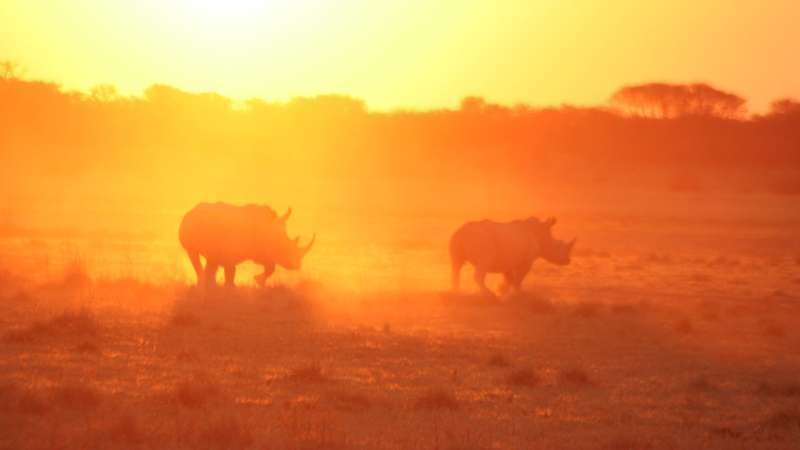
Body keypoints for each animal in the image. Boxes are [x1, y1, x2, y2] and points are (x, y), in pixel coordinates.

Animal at [179, 202, 315, 288]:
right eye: (284, 247)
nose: (297, 265)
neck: (271, 232)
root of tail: (190, 212)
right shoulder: (232, 250)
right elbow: (231, 270)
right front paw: (232, 287)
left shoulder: (258, 250)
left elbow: (270, 266)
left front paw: (258, 281)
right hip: (190, 227)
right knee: (194, 254)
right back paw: (205, 284)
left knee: (211, 260)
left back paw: (210, 285)